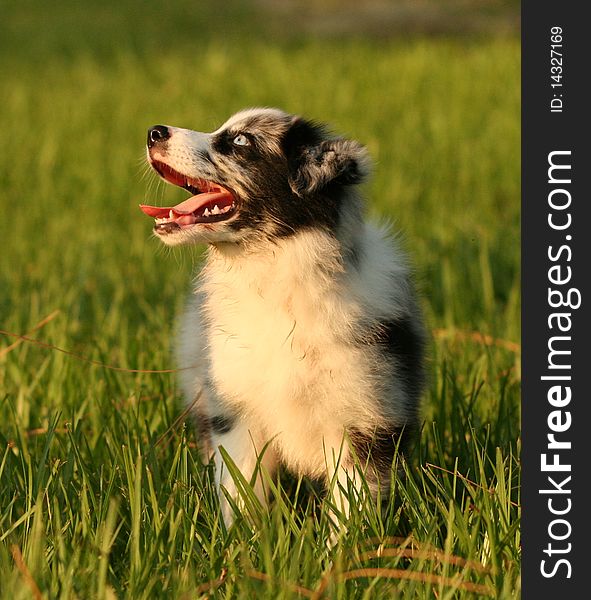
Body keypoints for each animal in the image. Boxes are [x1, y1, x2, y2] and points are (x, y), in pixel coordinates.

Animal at [140, 106, 426, 528]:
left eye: (241, 141)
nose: (153, 131)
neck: (276, 276)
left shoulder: (366, 419)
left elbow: (350, 508)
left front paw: (344, 547)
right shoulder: (236, 411)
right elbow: (240, 493)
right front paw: (242, 541)